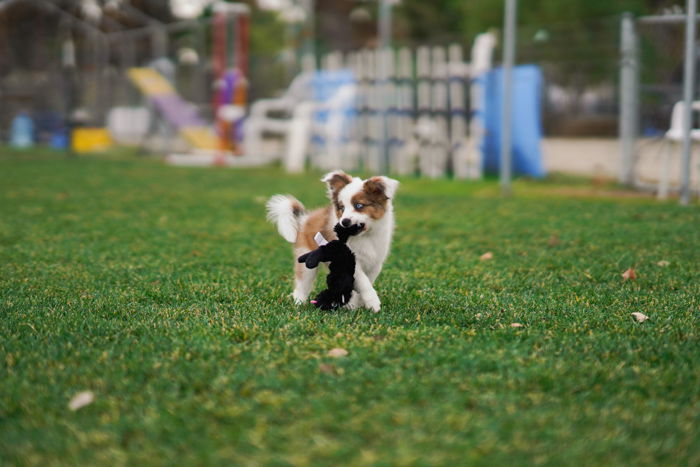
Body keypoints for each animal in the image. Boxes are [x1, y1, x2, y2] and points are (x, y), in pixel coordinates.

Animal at [266, 170, 400, 312]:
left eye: (359, 205)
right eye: (342, 208)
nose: (344, 222)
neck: (365, 236)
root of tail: (305, 219)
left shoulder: (375, 263)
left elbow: (365, 282)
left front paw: (355, 304)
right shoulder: (351, 261)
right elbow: (364, 283)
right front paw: (373, 303)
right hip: (306, 261)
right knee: (302, 284)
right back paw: (299, 303)